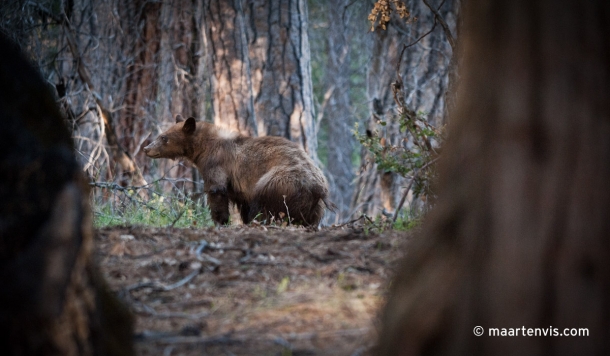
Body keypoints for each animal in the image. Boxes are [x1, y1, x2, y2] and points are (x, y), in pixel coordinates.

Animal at [142, 115, 332, 227]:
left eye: (163, 137)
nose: (146, 148)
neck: (203, 147)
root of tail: (318, 188)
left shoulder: (217, 163)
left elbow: (216, 191)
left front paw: (220, 221)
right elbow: (242, 204)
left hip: (278, 183)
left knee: (263, 204)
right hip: (313, 206)